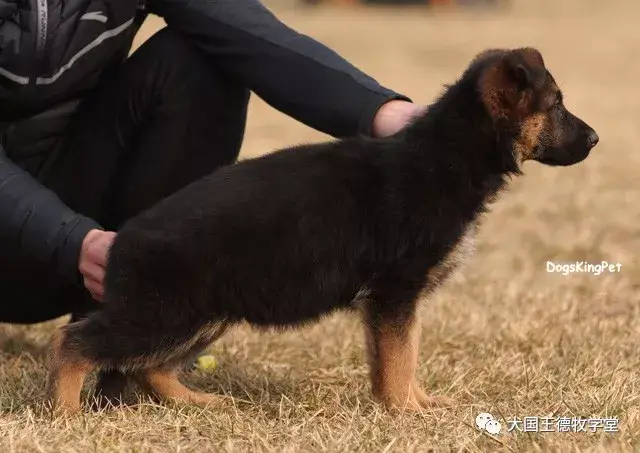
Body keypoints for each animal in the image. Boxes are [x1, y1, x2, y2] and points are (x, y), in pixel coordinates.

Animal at [47, 48, 596, 414]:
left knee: (148, 366)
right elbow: (400, 355)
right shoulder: (395, 292)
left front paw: (414, 403)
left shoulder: (396, 301)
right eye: (557, 105)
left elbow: (402, 354)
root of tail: (121, 240)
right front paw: (407, 412)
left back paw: (196, 402)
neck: (447, 153)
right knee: (76, 343)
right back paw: (67, 413)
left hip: (201, 315)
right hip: (163, 313)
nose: (595, 138)